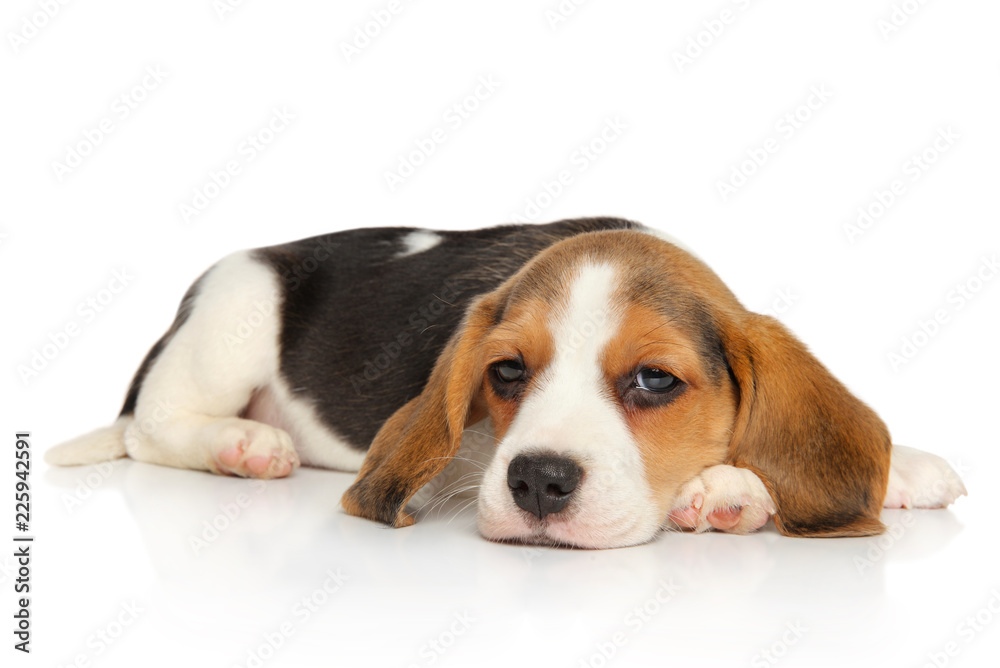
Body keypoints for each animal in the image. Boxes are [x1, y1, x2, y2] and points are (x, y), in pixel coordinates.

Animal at [48, 218, 968, 548]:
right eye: (506, 371)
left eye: (654, 380)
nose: (539, 482)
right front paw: (724, 488)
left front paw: (906, 466)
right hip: (234, 313)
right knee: (153, 427)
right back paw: (244, 444)